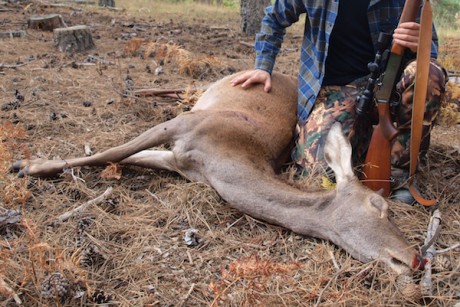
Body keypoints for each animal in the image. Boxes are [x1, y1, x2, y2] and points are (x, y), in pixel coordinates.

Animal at [12, 71, 426, 274]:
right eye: (379, 206)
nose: (415, 259)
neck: (223, 158)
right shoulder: (183, 124)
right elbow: (110, 151)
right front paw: (29, 165)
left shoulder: (179, 161)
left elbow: (127, 156)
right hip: (204, 95)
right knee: (187, 88)